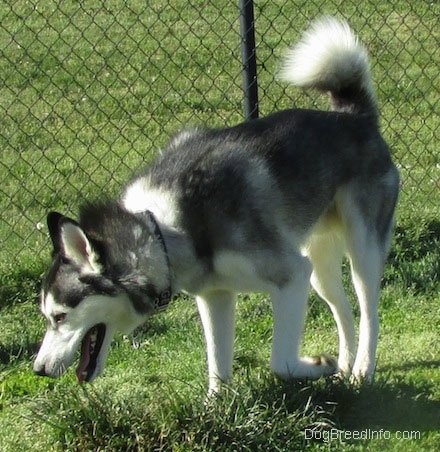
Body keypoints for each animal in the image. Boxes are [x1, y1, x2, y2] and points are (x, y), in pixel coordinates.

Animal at [33, 16, 398, 392]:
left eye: (60, 316)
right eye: (46, 317)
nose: (39, 370)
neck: (163, 231)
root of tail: (354, 117)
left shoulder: (291, 275)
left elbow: (280, 361)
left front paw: (317, 365)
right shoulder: (215, 296)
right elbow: (217, 368)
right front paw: (216, 403)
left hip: (360, 253)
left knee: (369, 312)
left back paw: (362, 370)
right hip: (319, 267)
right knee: (344, 310)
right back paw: (344, 370)